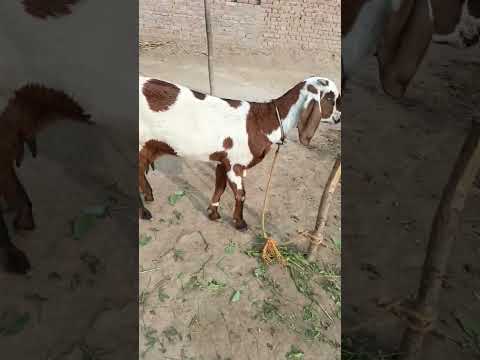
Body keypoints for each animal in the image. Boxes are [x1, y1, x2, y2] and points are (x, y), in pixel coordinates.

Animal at [138, 76, 342, 229]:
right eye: (330, 98)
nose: (339, 118)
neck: (262, 121)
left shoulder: (224, 160)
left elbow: (219, 187)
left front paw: (213, 213)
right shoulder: (236, 164)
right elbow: (241, 194)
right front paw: (240, 223)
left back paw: (148, 196)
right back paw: (144, 213)